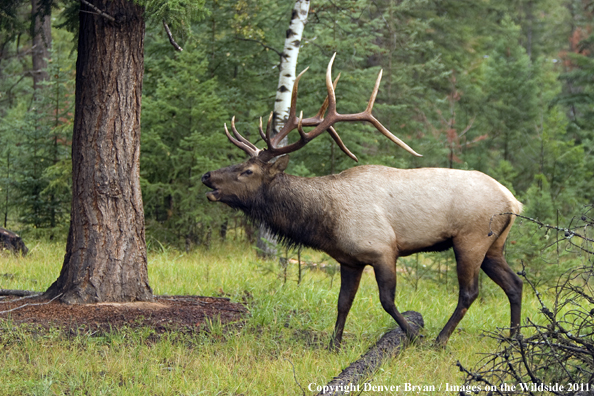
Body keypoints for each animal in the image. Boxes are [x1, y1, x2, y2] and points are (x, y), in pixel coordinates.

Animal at [201, 55, 520, 346]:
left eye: (247, 171)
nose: (207, 176)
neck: (325, 223)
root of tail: (513, 202)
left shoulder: (383, 249)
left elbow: (387, 301)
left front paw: (413, 335)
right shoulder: (349, 260)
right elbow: (343, 302)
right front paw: (333, 345)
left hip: (470, 238)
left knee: (470, 292)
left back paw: (440, 340)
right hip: (494, 245)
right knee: (515, 283)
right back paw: (514, 338)